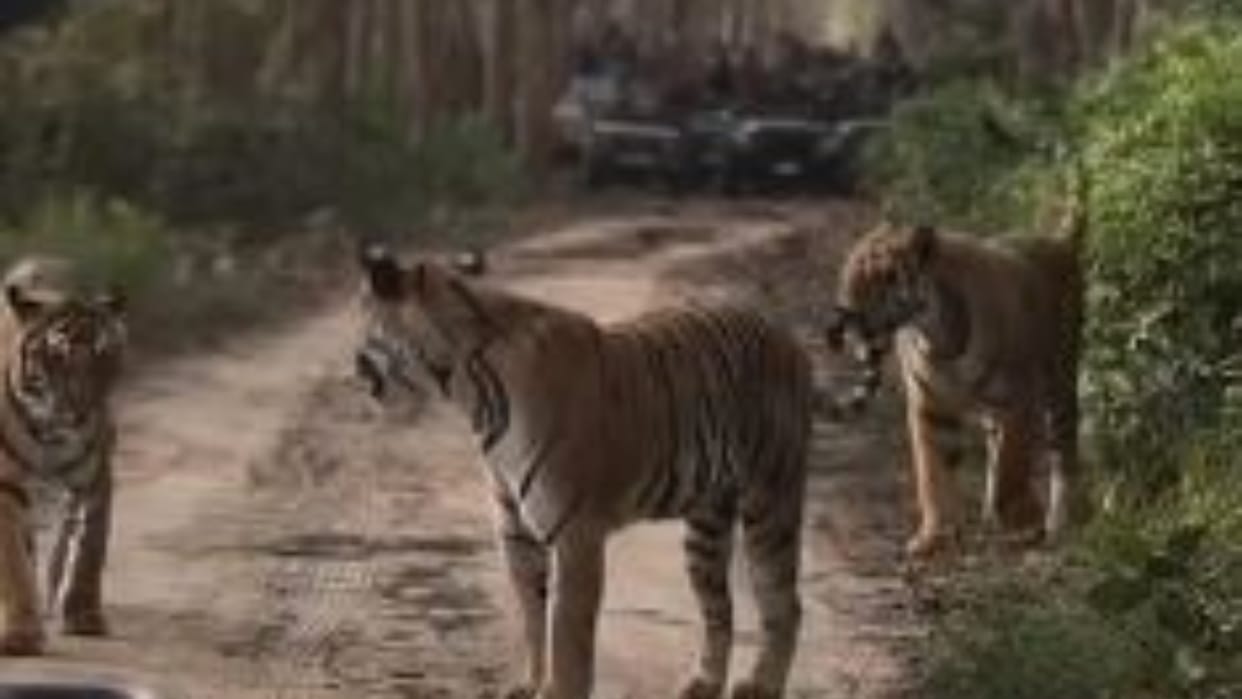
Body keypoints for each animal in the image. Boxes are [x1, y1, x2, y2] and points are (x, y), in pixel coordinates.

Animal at [0, 256, 126, 656]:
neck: (51, 433)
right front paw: (21, 632)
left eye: (103, 358)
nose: (82, 413)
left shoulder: (95, 478)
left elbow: (88, 549)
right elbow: (13, 560)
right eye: (57, 358)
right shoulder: (6, 484)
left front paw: (85, 615)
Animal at [355, 245, 812, 699]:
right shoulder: (516, 534)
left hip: (770, 499)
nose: (354, 365)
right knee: (720, 607)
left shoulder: (575, 533)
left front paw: (557, 690)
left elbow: (566, 635)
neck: (471, 395)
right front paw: (528, 684)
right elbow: (532, 620)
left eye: (365, 328)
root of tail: (780, 329)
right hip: (707, 522)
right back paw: (703, 683)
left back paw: (762, 685)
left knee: (784, 603)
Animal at [825, 209, 1085, 558]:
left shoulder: (1019, 402)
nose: (845, 314)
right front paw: (933, 538)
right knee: (995, 448)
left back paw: (1059, 523)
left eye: (887, 276)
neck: (939, 336)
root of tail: (1058, 239)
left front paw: (1023, 521)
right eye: (849, 272)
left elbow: (1011, 470)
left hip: (1059, 386)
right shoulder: (930, 407)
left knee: (1063, 453)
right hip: (994, 412)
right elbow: (932, 476)